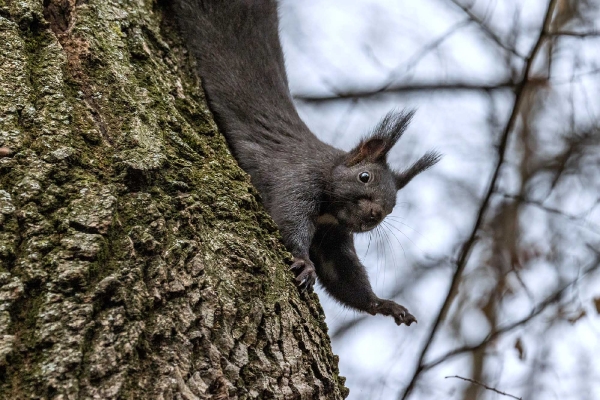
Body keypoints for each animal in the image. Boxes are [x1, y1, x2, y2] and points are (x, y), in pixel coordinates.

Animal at [171, 0, 438, 324]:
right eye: (364, 177)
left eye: (393, 206)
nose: (376, 214)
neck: (330, 210)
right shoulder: (298, 179)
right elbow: (289, 219)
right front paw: (303, 262)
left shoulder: (333, 236)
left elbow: (343, 276)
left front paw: (384, 304)